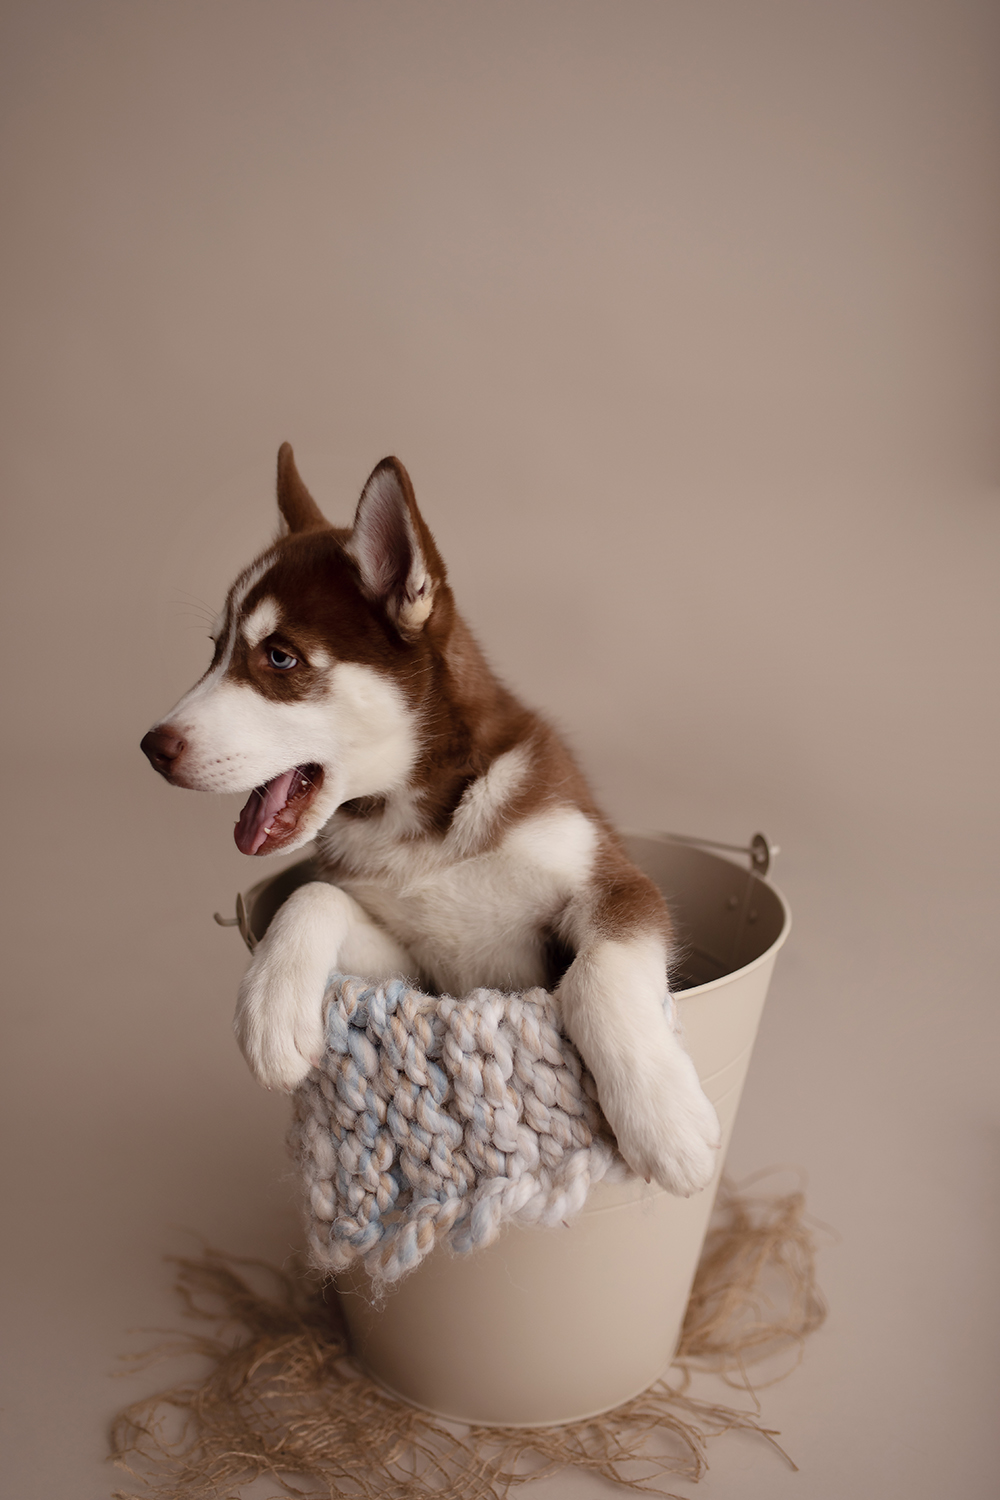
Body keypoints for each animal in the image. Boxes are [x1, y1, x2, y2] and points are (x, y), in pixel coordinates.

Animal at [140, 444, 719, 1194]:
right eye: (215, 652)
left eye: (279, 657)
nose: (152, 747)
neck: (425, 832)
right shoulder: (419, 972)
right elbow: (313, 893)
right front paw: (270, 1004)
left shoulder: (614, 881)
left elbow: (595, 973)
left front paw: (663, 1119)